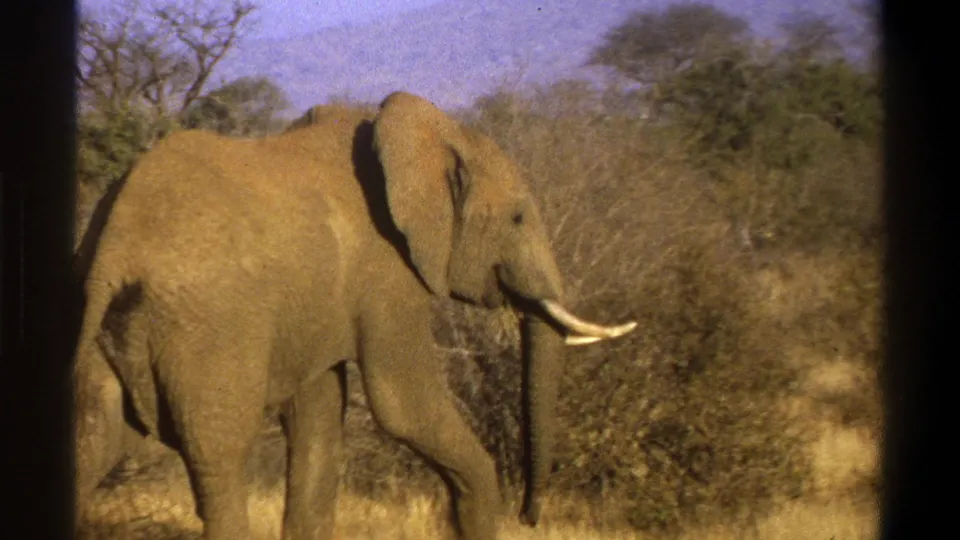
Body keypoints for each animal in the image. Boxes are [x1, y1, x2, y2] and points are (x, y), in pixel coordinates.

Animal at [72, 91, 637, 540]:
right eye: (518, 217)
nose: (529, 516)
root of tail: (114, 247)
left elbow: (319, 412)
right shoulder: (386, 270)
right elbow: (403, 404)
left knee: (92, 438)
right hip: (208, 327)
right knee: (220, 460)